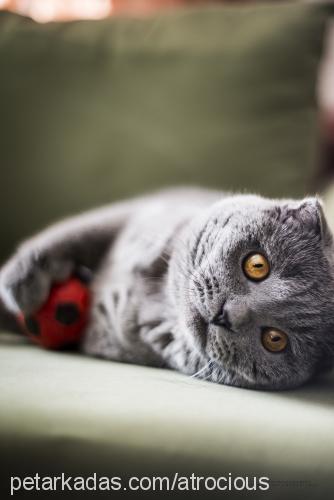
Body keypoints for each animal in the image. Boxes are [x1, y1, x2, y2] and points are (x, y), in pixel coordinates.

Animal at [0, 188, 334, 390]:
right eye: (257, 265)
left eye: (275, 340)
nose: (227, 315)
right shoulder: (139, 211)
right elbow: (76, 233)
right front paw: (20, 282)